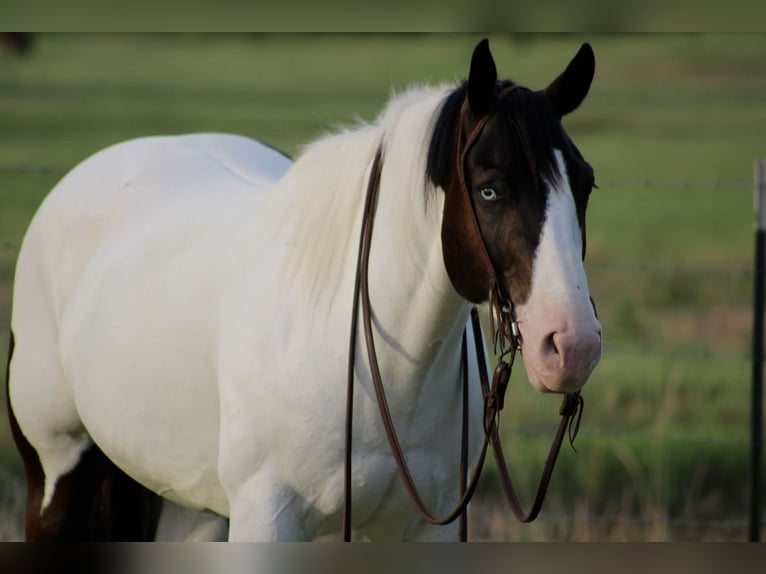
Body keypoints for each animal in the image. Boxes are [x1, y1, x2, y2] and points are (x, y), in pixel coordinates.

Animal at [6, 38, 608, 544]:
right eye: (490, 189)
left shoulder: (424, 529)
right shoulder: (266, 520)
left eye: (585, 183)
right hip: (56, 481)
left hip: (189, 506)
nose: (573, 346)